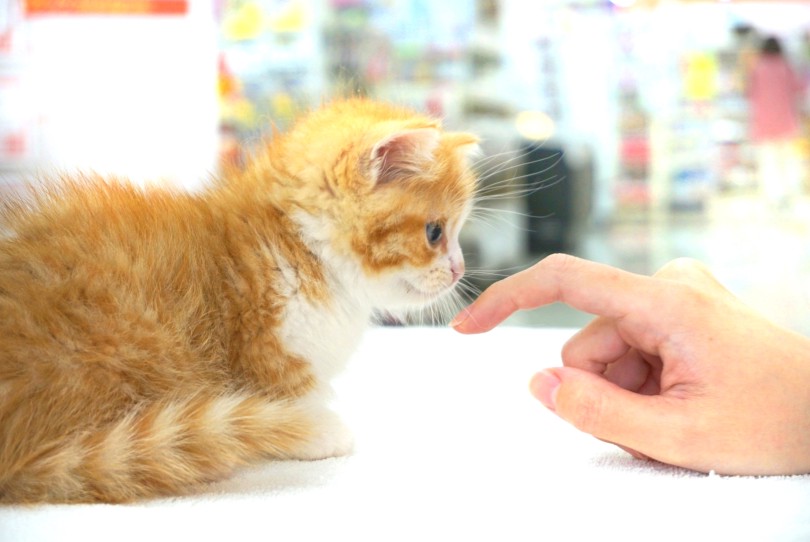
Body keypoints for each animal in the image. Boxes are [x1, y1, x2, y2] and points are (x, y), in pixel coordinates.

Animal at [0, 99, 476, 506]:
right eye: (435, 232)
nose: (460, 268)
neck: (303, 247)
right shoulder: (267, 347)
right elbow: (286, 400)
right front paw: (317, 431)